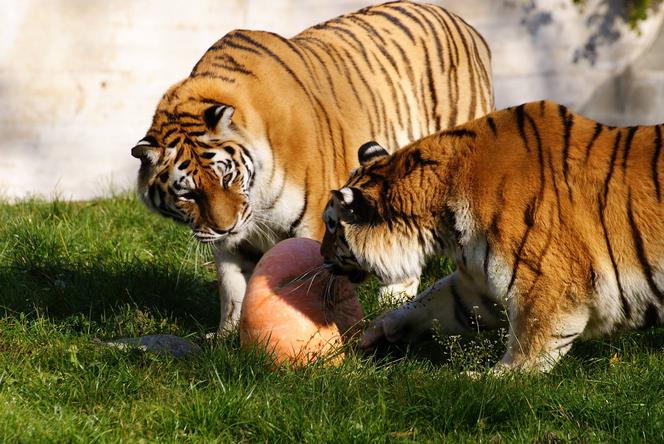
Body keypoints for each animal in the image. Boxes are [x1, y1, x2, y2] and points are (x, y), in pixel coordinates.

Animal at [130, 0, 492, 332]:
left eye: (227, 177)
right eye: (188, 195)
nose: (225, 227)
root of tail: (462, 23)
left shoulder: (313, 221)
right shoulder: (232, 246)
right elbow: (233, 289)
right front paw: (227, 339)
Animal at [322, 99, 664, 372]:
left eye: (330, 226)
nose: (322, 257)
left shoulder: (549, 283)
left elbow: (531, 344)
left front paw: (487, 378)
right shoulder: (478, 283)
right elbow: (432, 301)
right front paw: (379, 331)